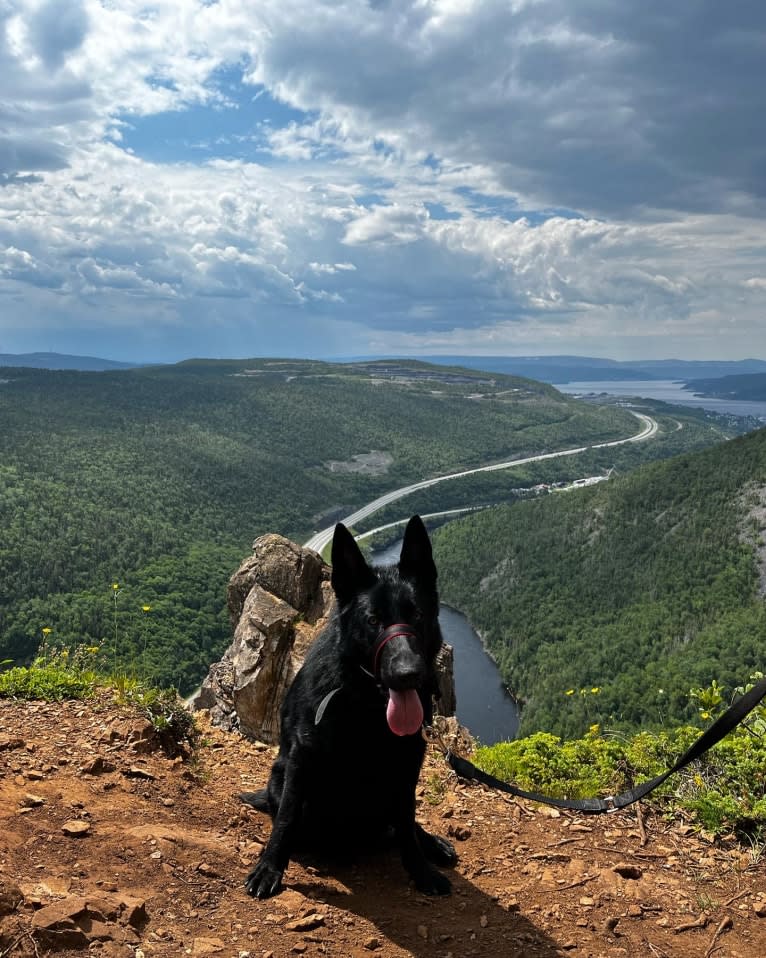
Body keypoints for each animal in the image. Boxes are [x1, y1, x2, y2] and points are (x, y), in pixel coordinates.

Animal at [244, 516, 456, 900]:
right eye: (373, 620)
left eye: (417, 614)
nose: (409, 674)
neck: (366, 703)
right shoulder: (302, 758)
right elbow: (285, 820)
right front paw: (269, 867)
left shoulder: (408, 762)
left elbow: (407, 820)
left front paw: (421, 870)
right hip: (282, 777)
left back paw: (431, 844)